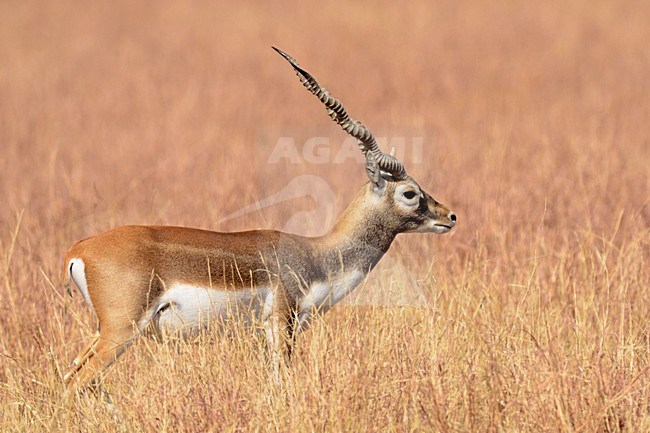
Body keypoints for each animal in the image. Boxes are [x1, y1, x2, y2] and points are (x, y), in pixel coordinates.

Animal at [60, 47, 456, 392]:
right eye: (409, 193)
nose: (449, 216)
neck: (317, 255)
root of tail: (79, 250)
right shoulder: (281, 322)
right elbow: (282, 382)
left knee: (75, 375)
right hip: (121, 329)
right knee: (77, 380)